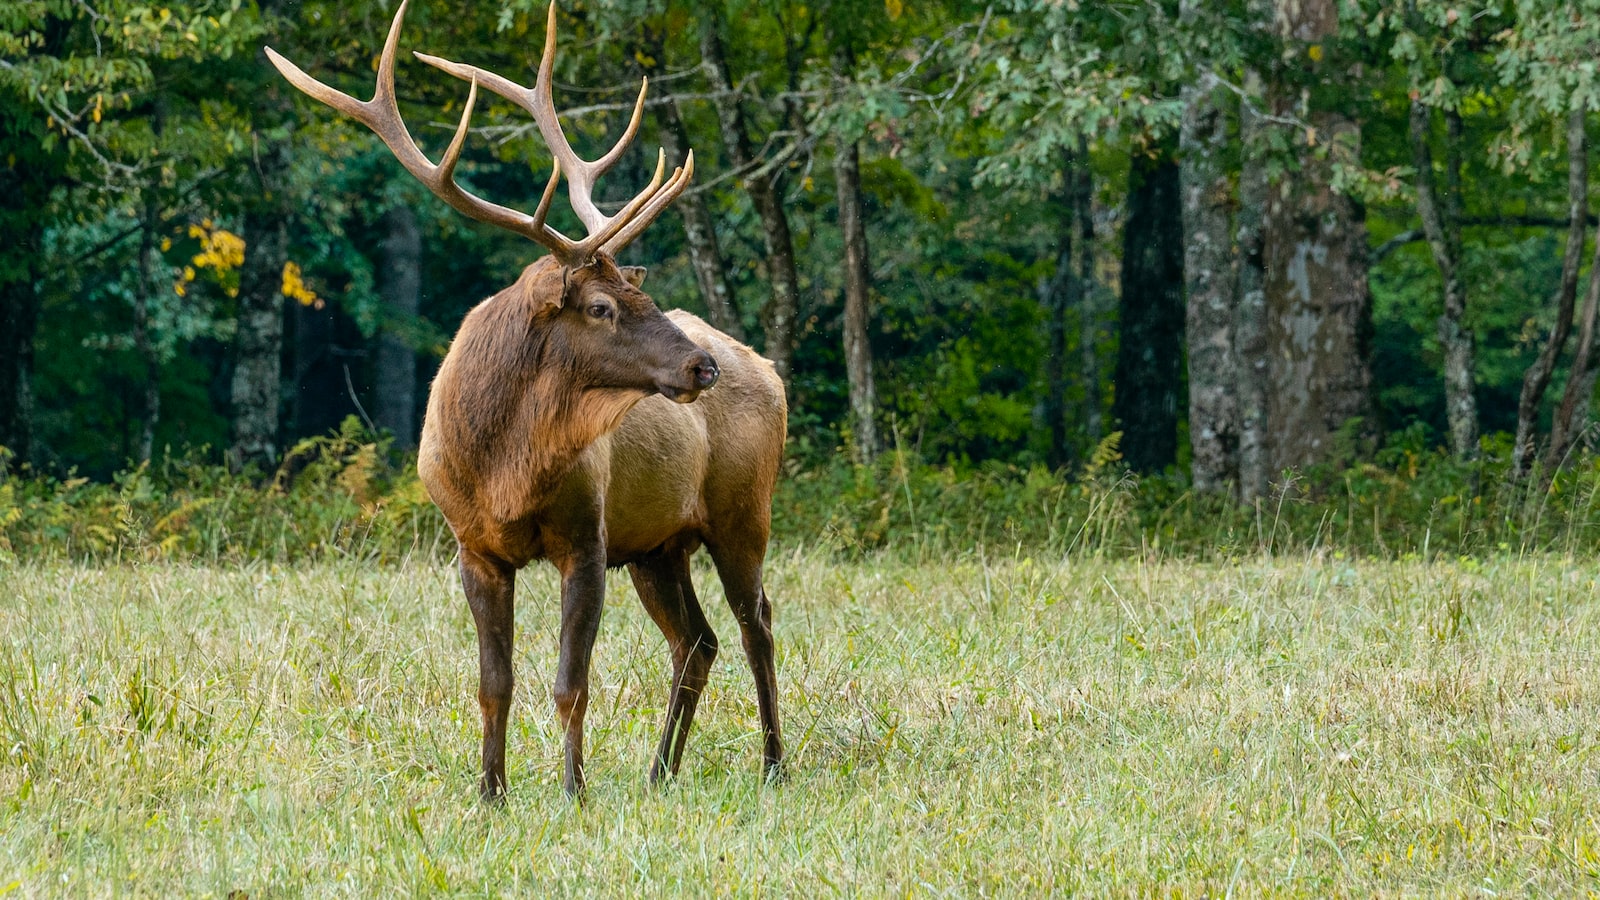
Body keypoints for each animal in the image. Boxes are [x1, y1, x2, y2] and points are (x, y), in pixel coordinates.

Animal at [268, 1, 787, 797]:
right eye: (603, 306)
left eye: (641, 291)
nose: (702, 368)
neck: (503, 467)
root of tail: (772, 371)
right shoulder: (473, 546)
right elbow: (494, 683)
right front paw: (491, 793)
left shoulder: (587, 537)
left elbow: (571, 681)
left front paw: (573, 791)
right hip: (658, 544)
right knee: (697, 642)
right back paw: (660, 772)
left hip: (741, 511)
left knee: (756, 623)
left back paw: (772, 765)